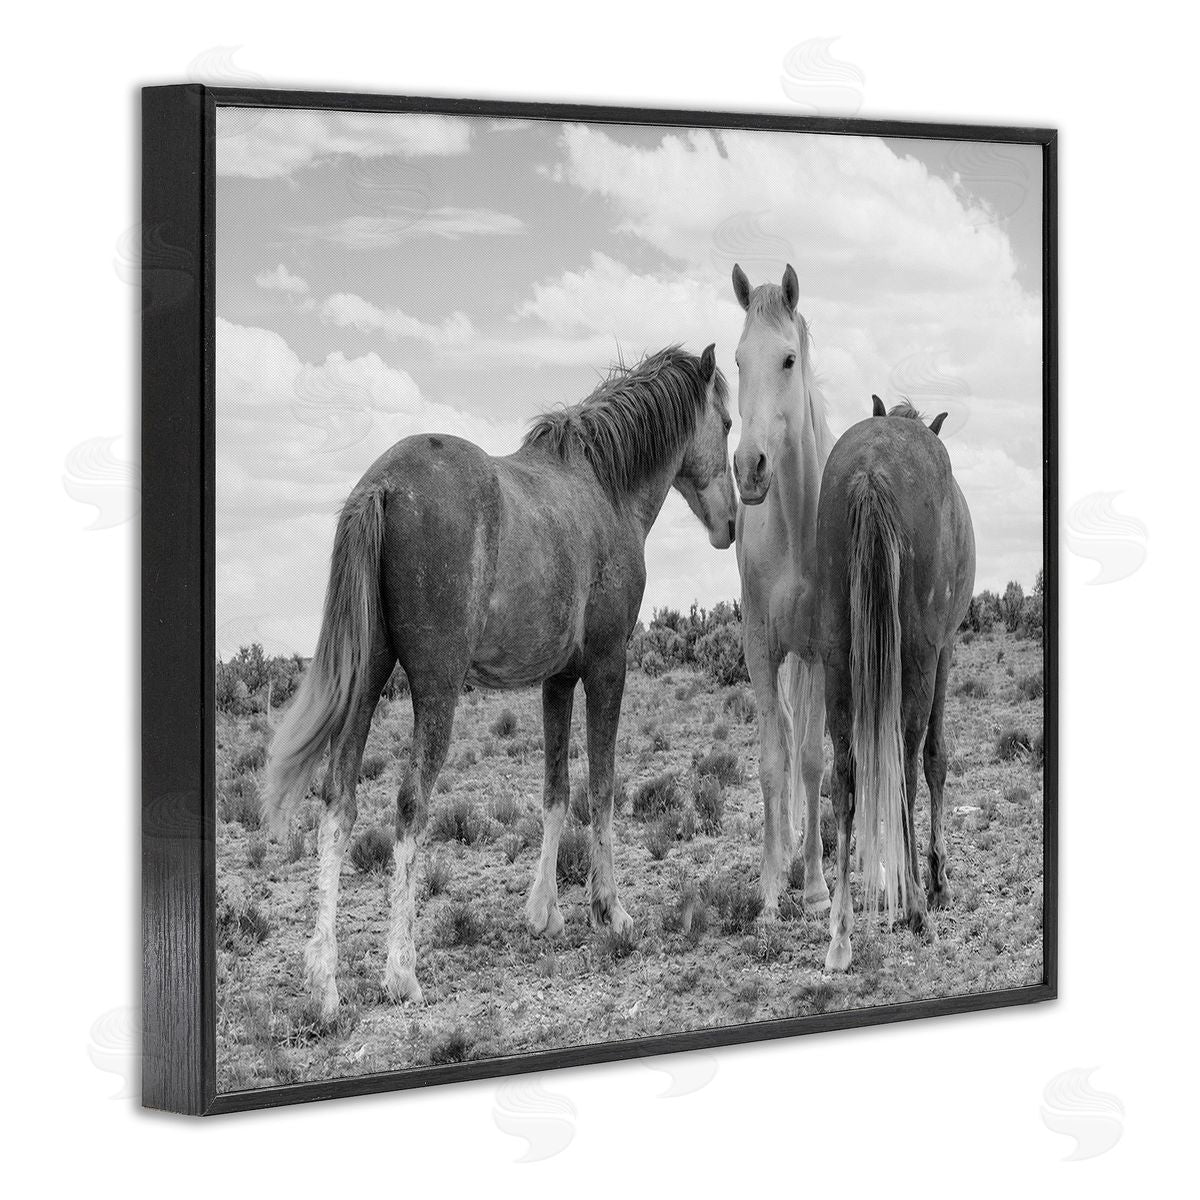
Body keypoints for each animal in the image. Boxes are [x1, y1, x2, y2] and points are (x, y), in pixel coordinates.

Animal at [263, 344, 737, 1015]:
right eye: (727, 422)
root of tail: (380, 486)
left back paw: (325, 983)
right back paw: (401, 972)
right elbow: (604, 788)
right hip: (435, 689)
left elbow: (556, 791)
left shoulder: (557, 680)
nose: (730, 522)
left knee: (339, 801)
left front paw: (544, 913)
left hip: (368, 679)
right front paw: (610, 911)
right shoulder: (607, 665)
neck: (604, 489)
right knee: (410, 805)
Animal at [815, 399, 975, 971]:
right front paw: (938, 881)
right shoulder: (944, 651)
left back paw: (840, 933)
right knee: (907, 763)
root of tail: (871, 470)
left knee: (844, 777)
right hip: (921, 658)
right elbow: (935, 758)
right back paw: (917, 910)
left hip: (837, 657)